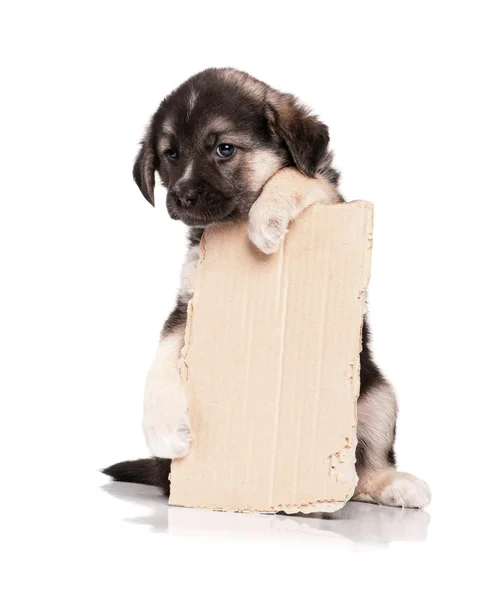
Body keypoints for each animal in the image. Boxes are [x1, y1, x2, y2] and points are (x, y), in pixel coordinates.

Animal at [103, 68, 434, 508]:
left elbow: (291, 175)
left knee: (363, 470)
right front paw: (162, 427)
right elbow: (161, 356)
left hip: (380, 396)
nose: (181, 196)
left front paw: (266, 220)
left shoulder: (329, 196)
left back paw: (393, 484)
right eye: (170, 154)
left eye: (224, 149)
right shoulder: (189, 303)